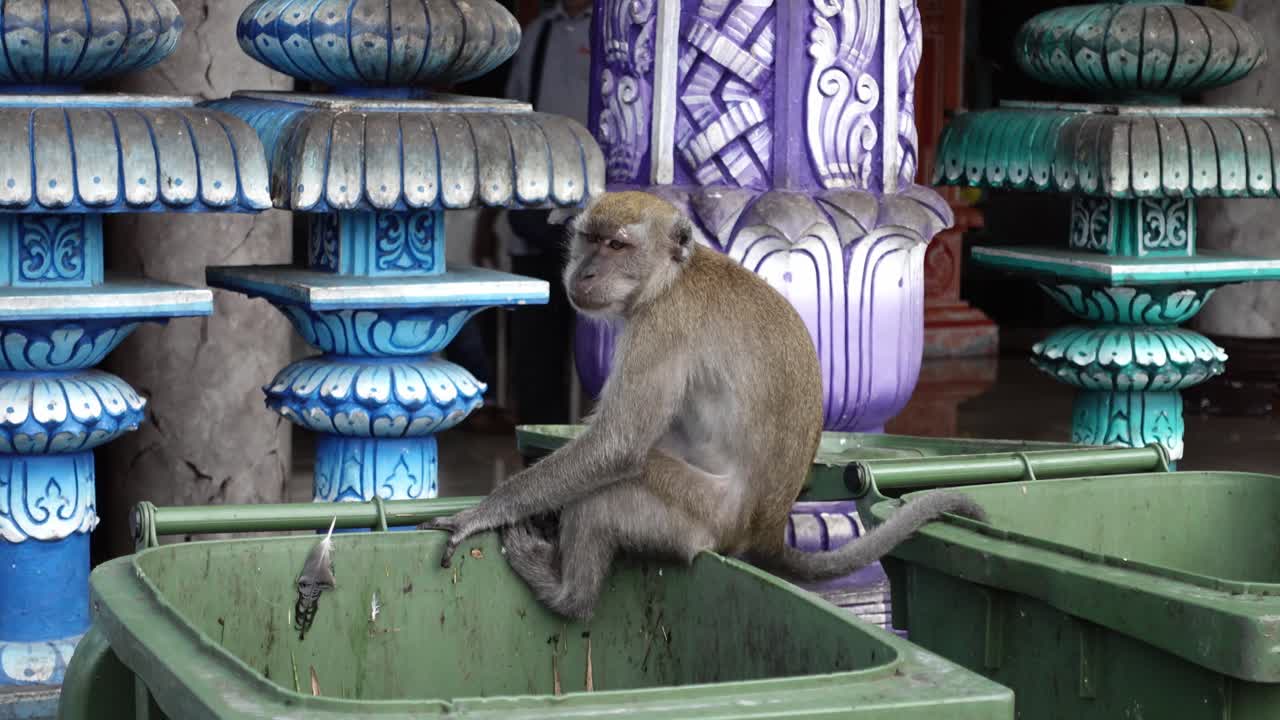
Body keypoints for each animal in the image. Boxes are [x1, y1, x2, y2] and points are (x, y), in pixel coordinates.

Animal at [426, 191, 986, 620]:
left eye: (617, 245)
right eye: (588, 240)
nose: (583, 274)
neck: (672, 277)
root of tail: (765, 529)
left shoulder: (661, 326)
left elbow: (617, 446)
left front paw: (483, 512)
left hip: (700, 518)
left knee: (611, 490)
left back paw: (568, 596)